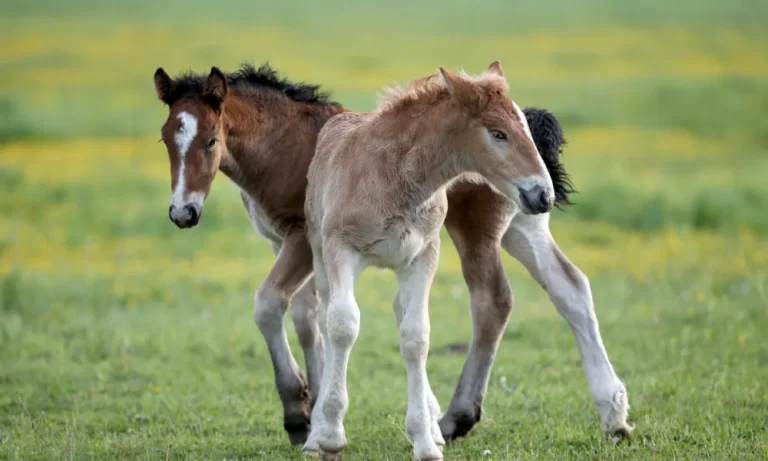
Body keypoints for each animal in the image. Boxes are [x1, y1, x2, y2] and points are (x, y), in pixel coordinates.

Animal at [153, 62, 632, 450]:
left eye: (211, 140)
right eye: (165, 140)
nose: (183, 213)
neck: (286, 145)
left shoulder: (300, 240)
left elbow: (271, 305)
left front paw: (298, 413)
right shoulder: (290, 244)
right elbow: (311, 319)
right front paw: (317, 410)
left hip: (476, 230)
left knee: (492, 301)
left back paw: (457, 417)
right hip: (524, 224)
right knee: (571, 288)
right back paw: (614, 415)